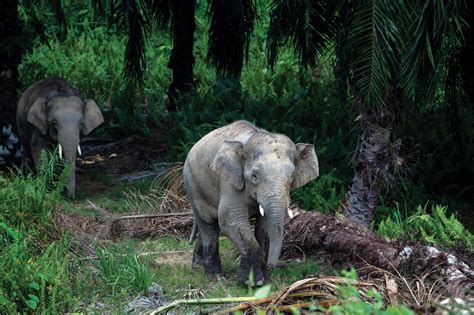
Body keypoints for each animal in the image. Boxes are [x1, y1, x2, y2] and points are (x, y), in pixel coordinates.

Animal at [185, 121, 318, 286]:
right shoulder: (230, 182)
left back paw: (198, 267)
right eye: (254, 176)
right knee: (208, 224)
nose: (272, 266)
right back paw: (216, 277)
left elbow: (264, 227)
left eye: (292, 175)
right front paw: (251, 282)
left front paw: (264, 280)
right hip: (192, 186)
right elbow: (231, 221)